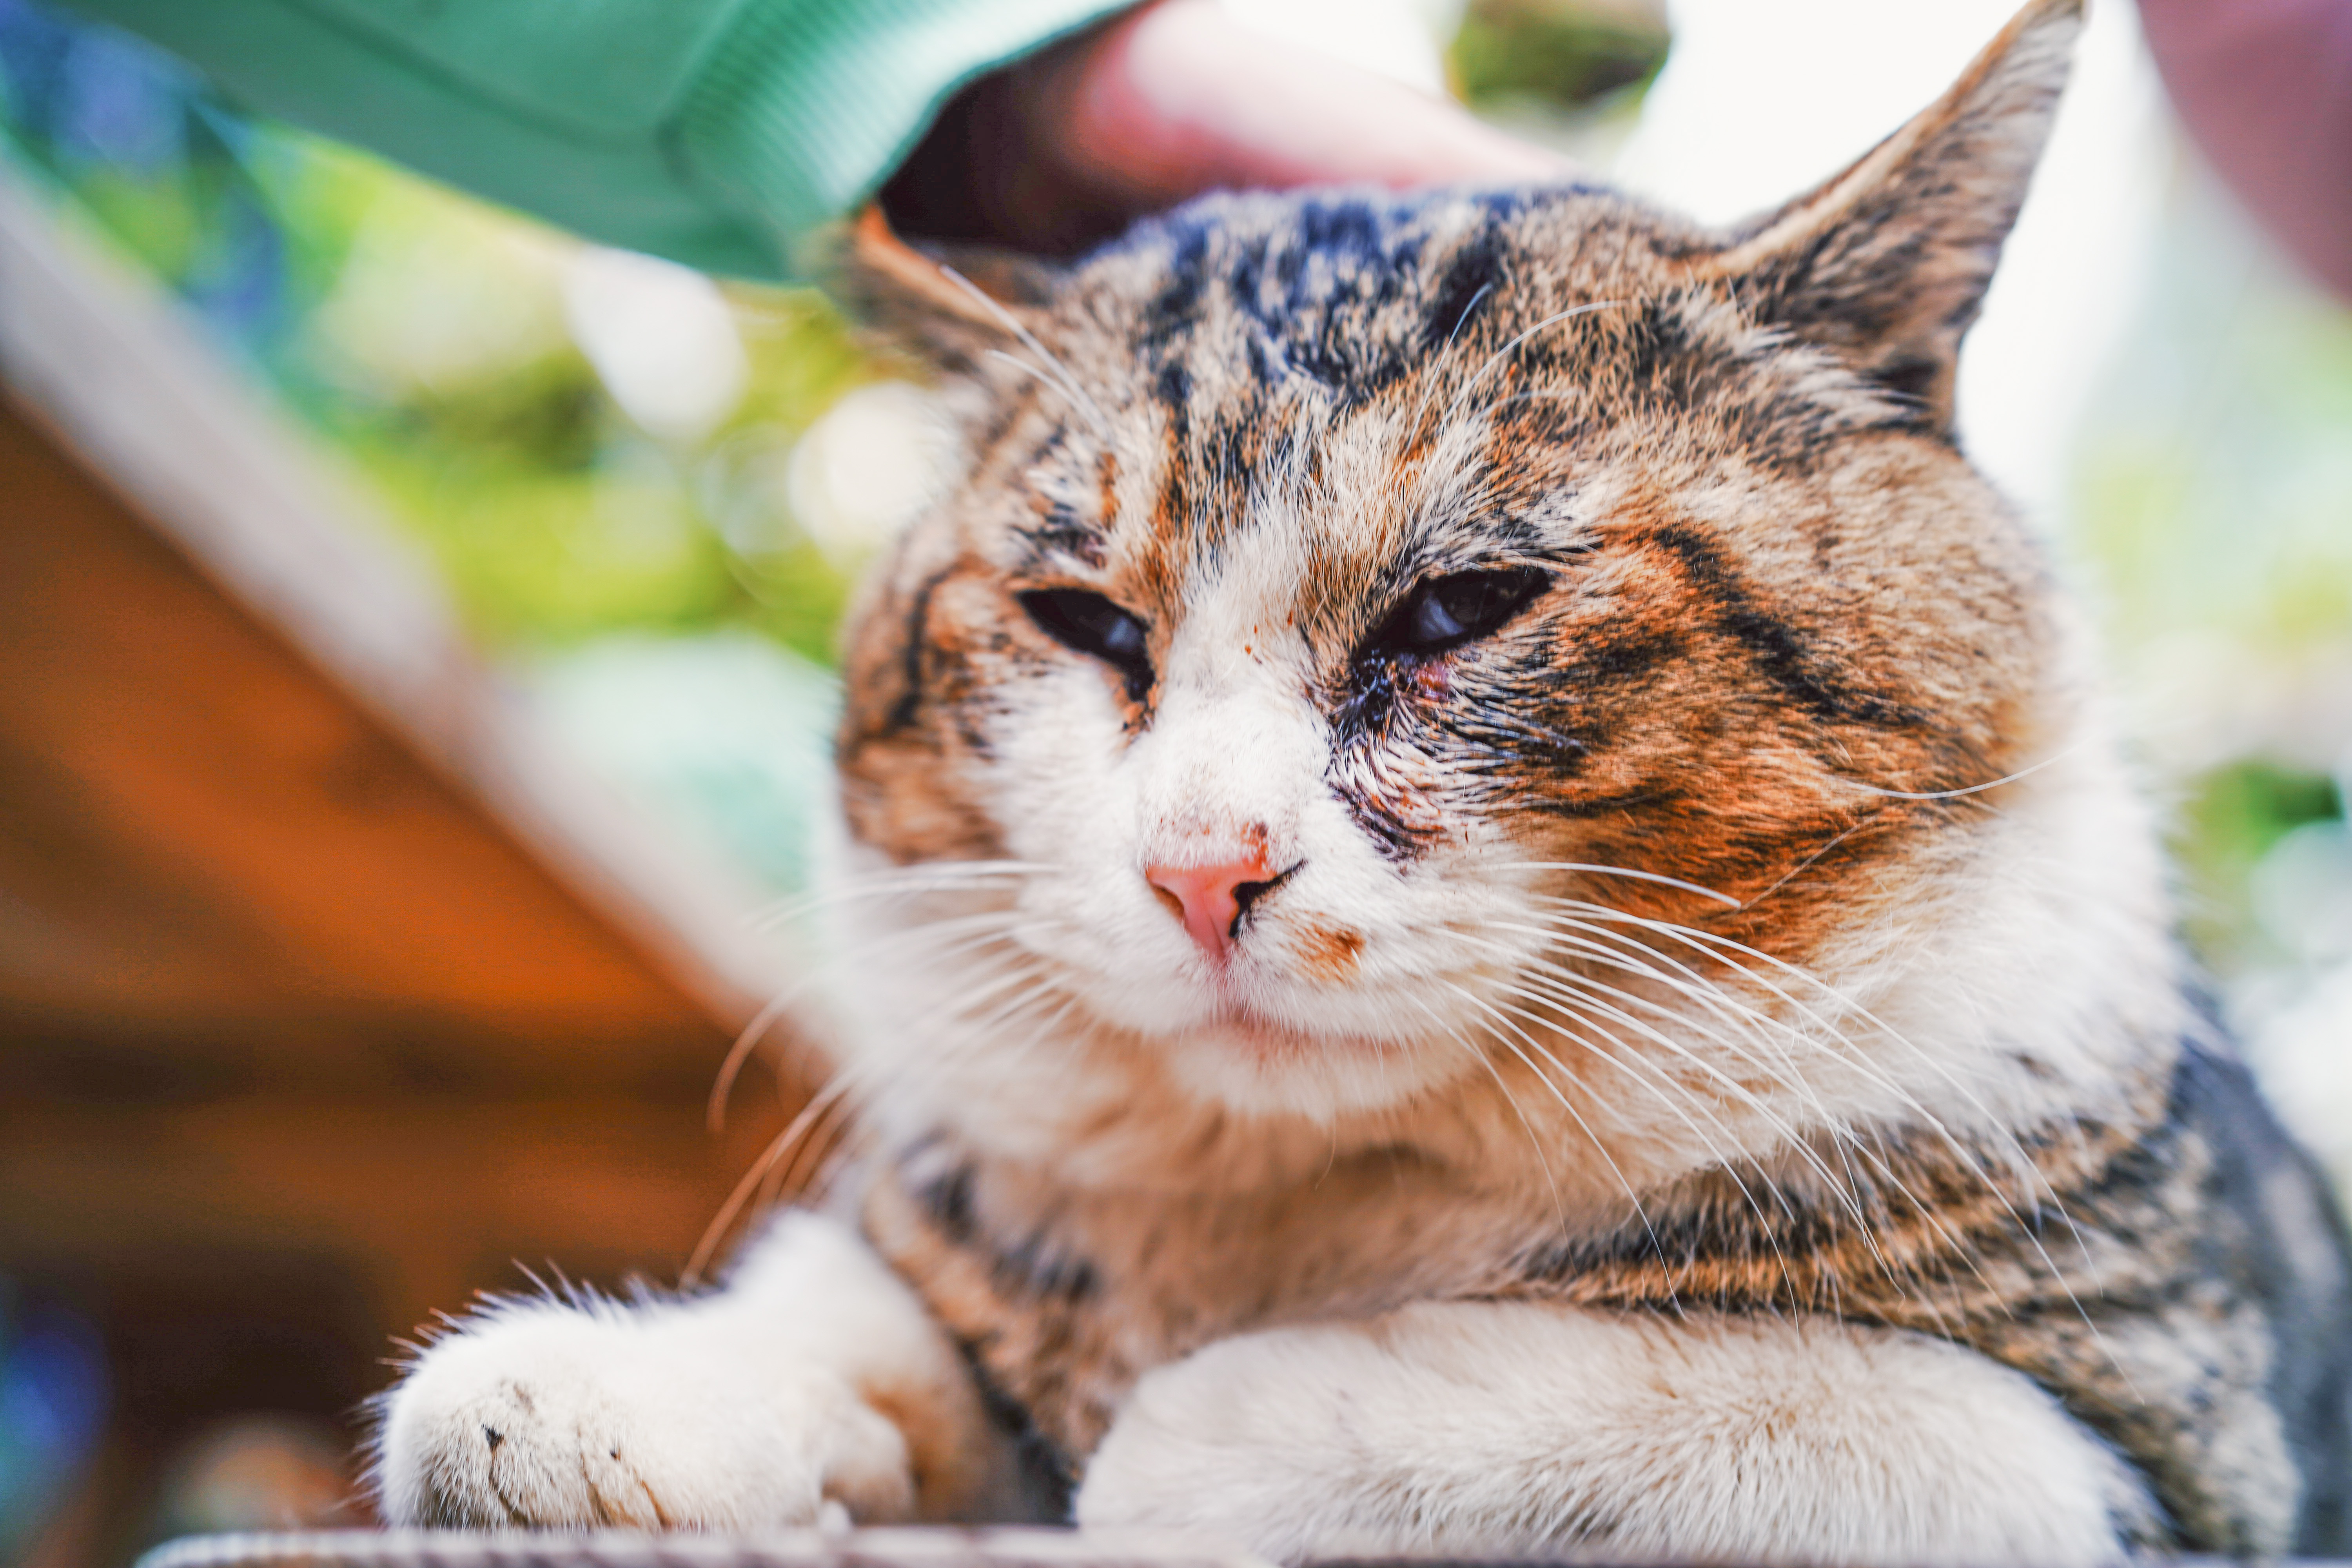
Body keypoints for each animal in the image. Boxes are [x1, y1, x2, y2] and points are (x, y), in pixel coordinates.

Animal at [367, 6, 2352, 1561]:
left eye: (1464, 605)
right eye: (1082, 619)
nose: (1202, 863)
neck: (1309, 1203)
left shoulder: (2163, 1452)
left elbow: (1773, 1397)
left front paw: (1193, 1427)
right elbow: (862, 1308)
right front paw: (616, 1385)